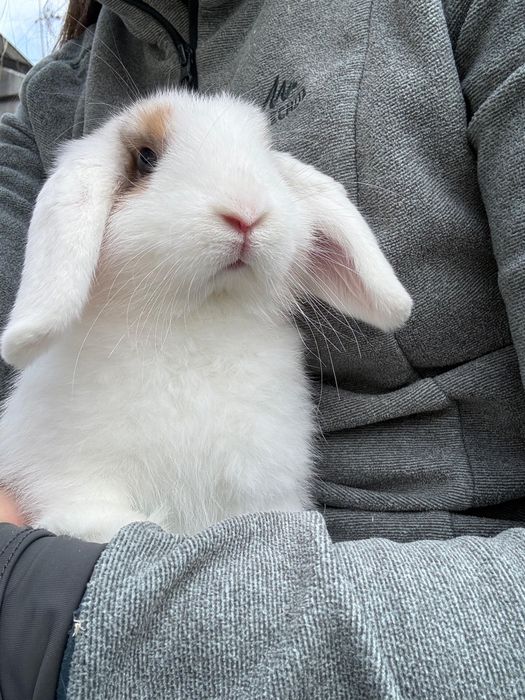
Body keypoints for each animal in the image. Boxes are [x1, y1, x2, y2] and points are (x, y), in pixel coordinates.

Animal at [0, 90, 412, 543]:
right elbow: (92, 514)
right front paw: (114, 526)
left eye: (265, 152)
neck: (198, 318)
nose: (246, 213)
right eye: (146, 157)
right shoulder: (71, 474)